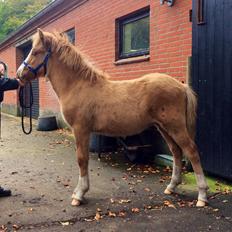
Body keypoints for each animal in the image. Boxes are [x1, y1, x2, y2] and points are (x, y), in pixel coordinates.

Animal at [17, 29, 208, 207]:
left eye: (35, 52)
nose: (19, 74)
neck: (78, 86)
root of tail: (182, 87)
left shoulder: (81, 129)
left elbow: (82, 159)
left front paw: (79, 194)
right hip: (163, 127)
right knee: (176, 152)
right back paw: (171, 187)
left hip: (175, 126)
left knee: (191, 151)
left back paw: (202, 196)